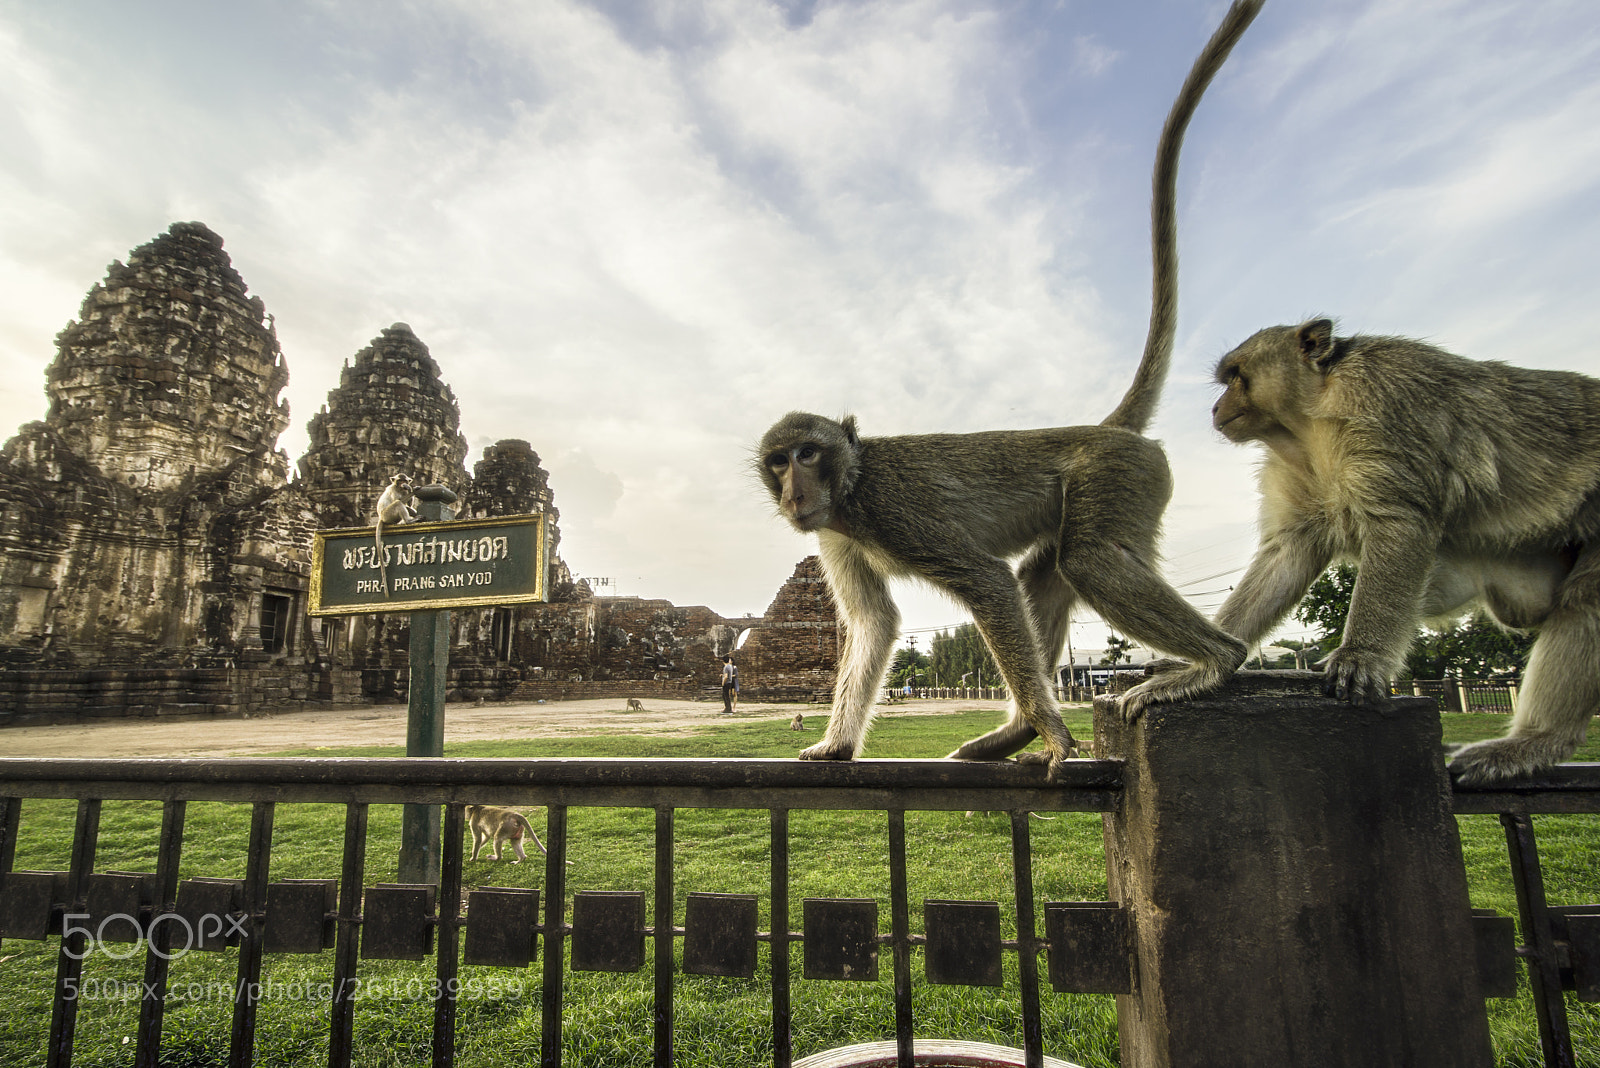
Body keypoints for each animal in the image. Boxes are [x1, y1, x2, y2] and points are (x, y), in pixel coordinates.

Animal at [755, 1, 1260, 778]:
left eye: (808, 454)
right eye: (779, 462)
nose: (792, 489)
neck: (855, 484)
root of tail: (1105, 430)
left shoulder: (893, 512)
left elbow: (988, 581)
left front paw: (1055, 730)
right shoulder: (836, 534)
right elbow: (875, 623)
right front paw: (837, 742)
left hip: (1119, 477)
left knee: (1084, 564)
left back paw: (1205, 665)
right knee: (1050, 571)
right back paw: (1015, 731)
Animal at [1210, 317, 1600, 785]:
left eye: (1236, 376)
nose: (1215, 407)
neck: (1310, 418)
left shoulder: (1380, 408)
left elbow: (1401, 524)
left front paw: (1362, 657)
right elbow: (1288, 554)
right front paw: (1197, 668)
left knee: (1585, 600)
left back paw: (1536, 742)